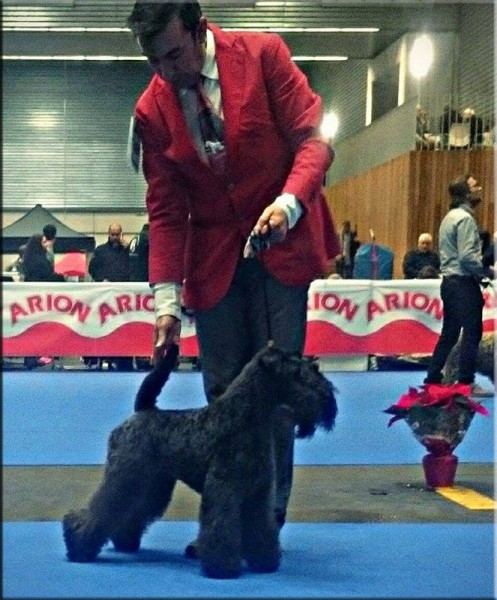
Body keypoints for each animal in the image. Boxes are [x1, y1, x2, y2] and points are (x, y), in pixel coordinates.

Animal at [63, 344, 338, 580]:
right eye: (296, 374)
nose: (328, 399)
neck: (242, 419)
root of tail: (142, 411)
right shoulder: (224, 490)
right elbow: (221, 527)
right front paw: (223, 567)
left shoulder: (259, 494)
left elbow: (262, 527)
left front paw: (264, 561)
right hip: (126, 476)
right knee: (100, 511)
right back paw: (78, 546)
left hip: (154, 483)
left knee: (133, 511)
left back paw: (124, 542)